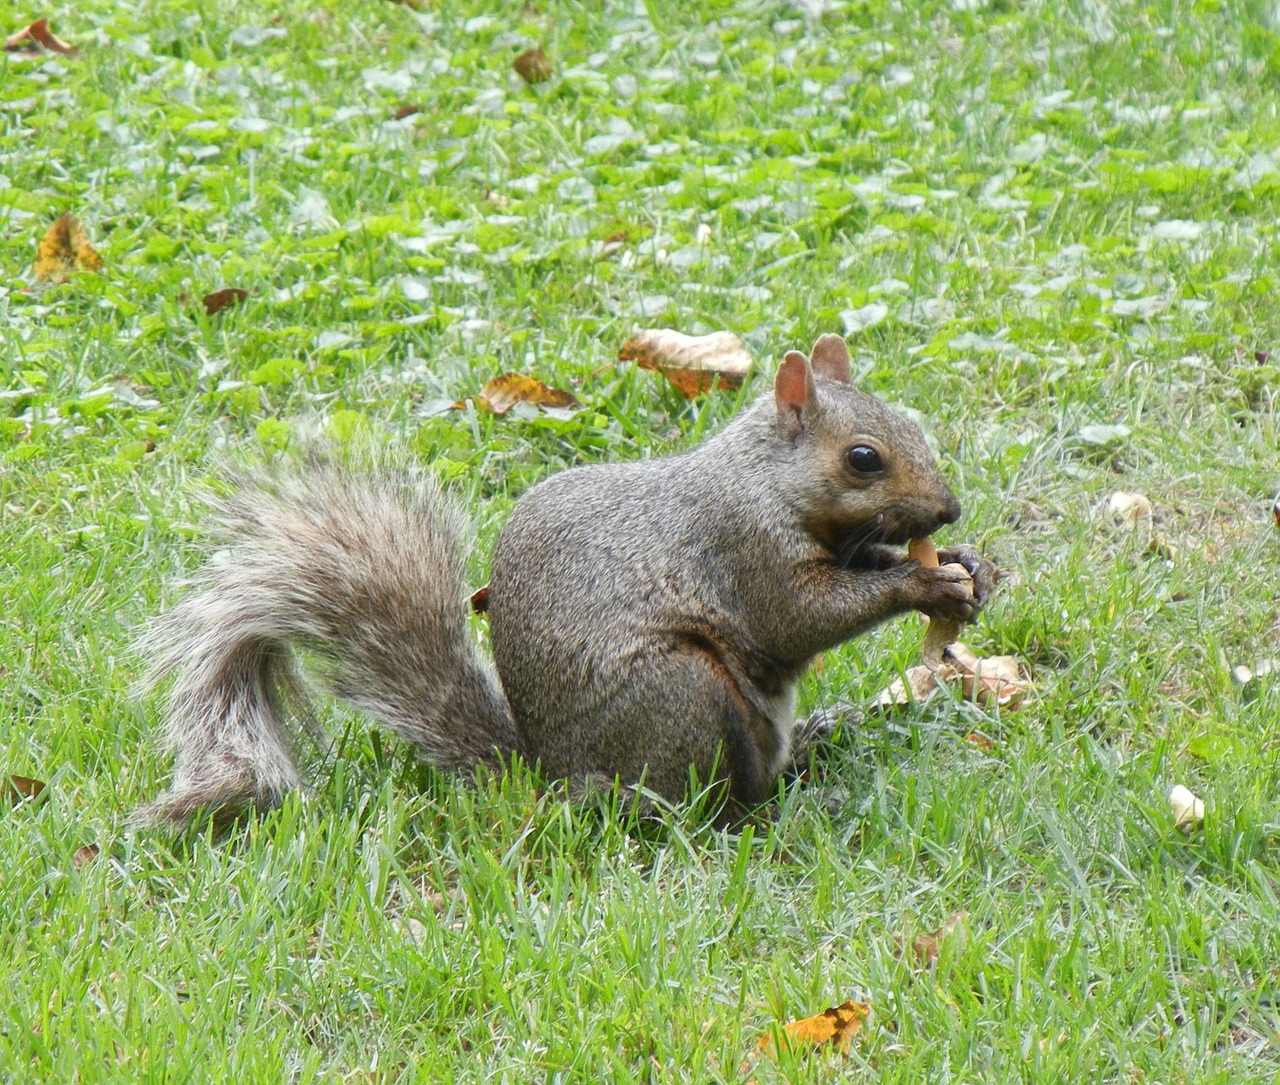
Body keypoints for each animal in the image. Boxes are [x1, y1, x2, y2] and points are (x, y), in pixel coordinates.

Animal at [137, 330, 998, 823]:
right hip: (682, 695)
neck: (763, 478)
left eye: (910, 422)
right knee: (697, 807)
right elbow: (801, 615)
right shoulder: (743, 546)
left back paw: (818, 742)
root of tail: (552, 777)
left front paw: (972, 567)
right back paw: (771, 806)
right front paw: (925, 584)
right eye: (863, 458)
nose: (948, 508)